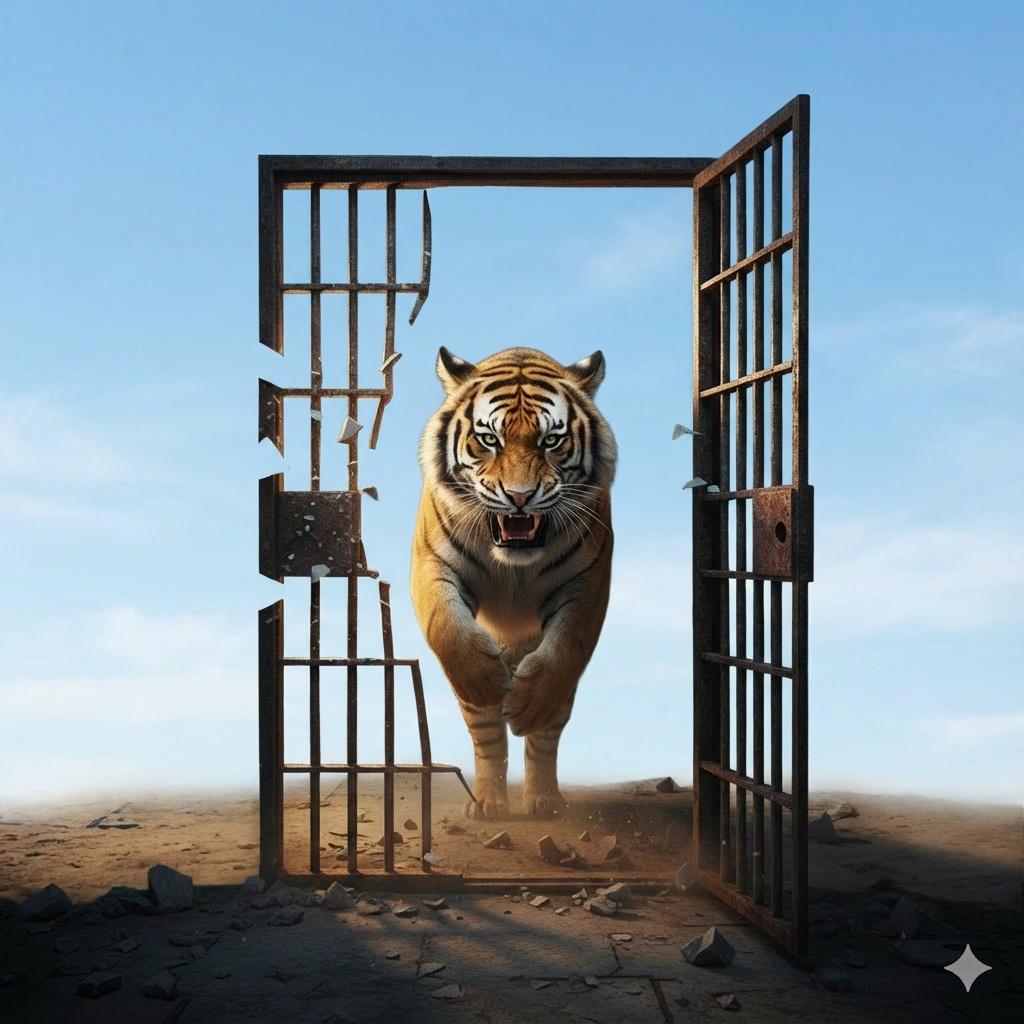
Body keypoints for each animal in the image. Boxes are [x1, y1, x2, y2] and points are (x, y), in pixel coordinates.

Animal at [411, 345, 616, 818]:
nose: (519, 496)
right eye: (489, 439)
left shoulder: (588, 581)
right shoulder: (431, 561)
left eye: (551, 441)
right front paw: (486, 680)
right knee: (487, 738)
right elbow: (445, 626)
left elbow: (566, 647)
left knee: (545, 738)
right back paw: (489, 802)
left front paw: (528, 704)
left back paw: (543, 800)